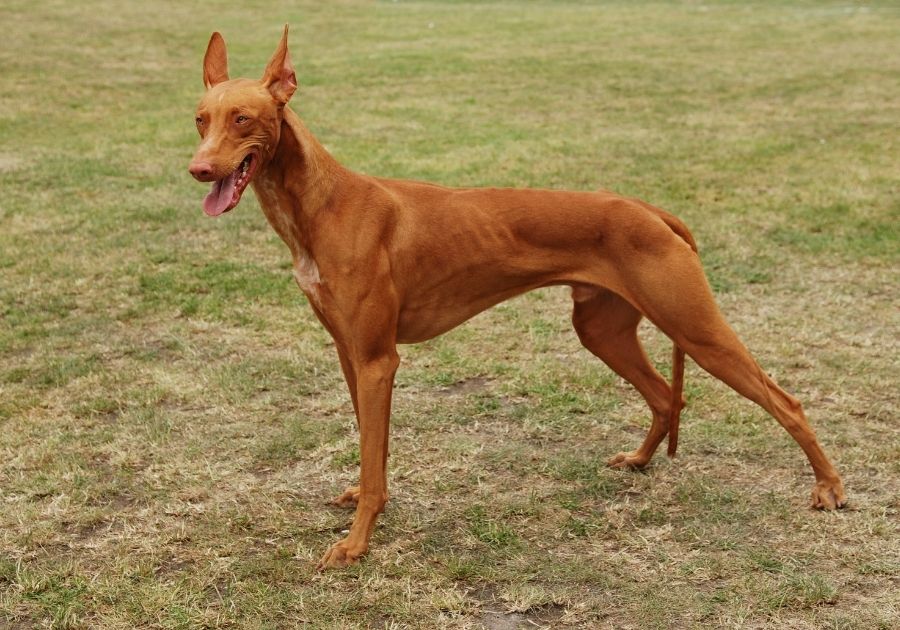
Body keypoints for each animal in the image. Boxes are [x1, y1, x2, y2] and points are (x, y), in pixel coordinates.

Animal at [188, 25, 844, 572]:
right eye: (200, 119)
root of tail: (648, 208)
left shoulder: (378, 360)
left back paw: (829, 487)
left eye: (243, 119)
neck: (321, 205)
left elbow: (374, 459)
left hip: (698, 330)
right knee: (666, 395)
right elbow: (371, 449)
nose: (199, 169)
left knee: (786, 402)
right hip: (603, 330)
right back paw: (639, 461)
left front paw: (356, 543)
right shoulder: (351, 355)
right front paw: (363, 505)